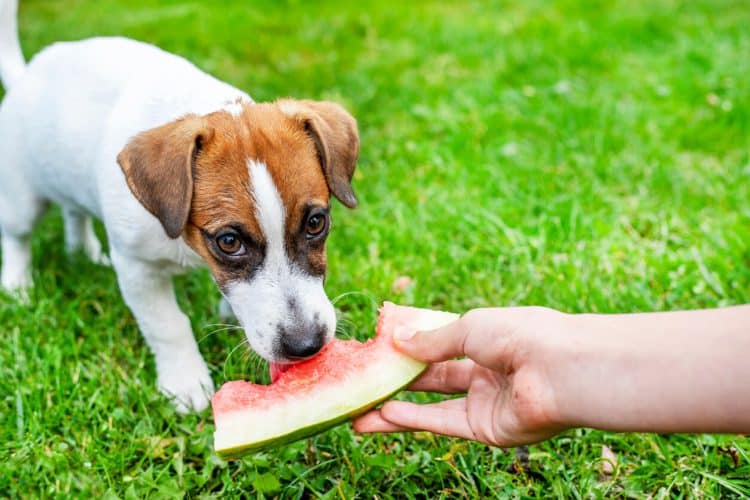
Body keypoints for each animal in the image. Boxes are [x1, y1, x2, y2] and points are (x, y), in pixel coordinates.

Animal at [0, 0, 358, 412]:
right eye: (229, 242)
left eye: (316, 222)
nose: (307, 346)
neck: (185, 241)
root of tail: (28, 74)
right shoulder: (137, 267)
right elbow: (168, 325)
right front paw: (186, 383)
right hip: (21, 196)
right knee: (17, 237)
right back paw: (18, 286)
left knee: (74, 211)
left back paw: (83, 253)